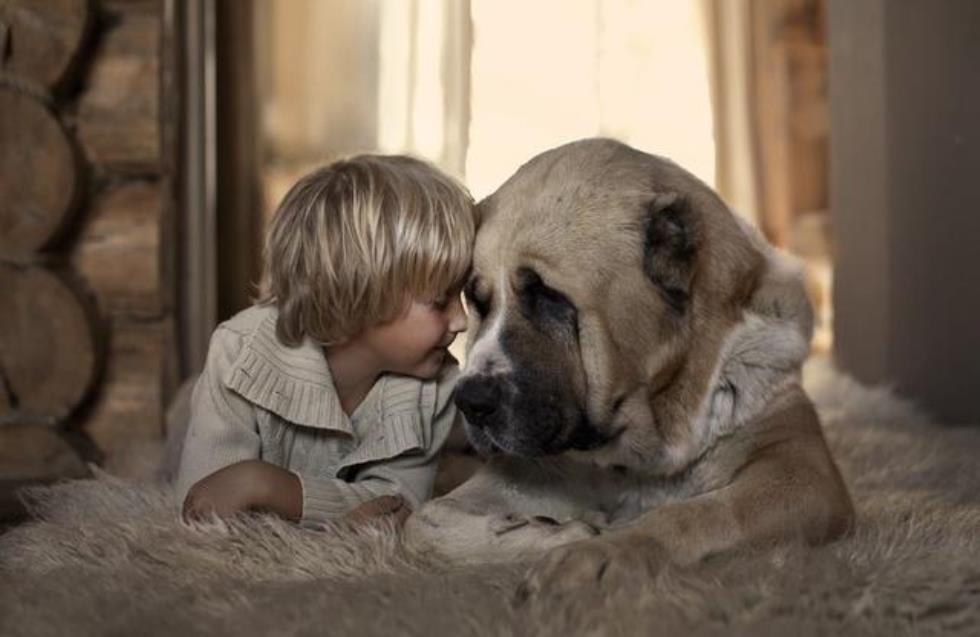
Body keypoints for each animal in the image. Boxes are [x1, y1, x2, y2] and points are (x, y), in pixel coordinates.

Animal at [402, 138, 852, 600]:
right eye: (478, 301)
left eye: (549, 297)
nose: (470, 400)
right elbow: (421, 524)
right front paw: (561, 533)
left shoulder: (802, 473)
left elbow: (698, 513)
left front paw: (603, 550)